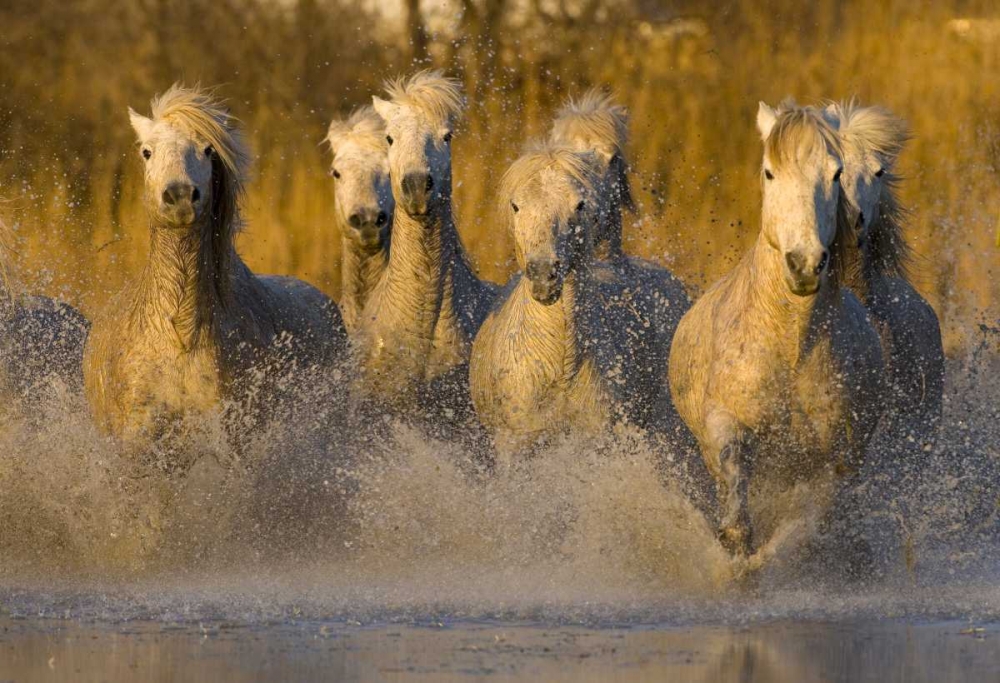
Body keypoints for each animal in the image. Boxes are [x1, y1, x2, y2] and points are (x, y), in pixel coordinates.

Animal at [668, 102, 885, 571]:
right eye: (769, 172)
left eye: (836, 173)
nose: (804, 264)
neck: (790, 349)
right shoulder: (726, 425)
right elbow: (735, 503)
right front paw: (737, 552)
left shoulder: (835, 458)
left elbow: (814, 520)